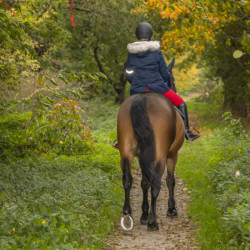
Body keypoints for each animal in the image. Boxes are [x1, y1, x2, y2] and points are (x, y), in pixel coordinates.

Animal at [116, 58, 184, 230]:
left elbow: (143, 183)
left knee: (127, 179)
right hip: (160, 154)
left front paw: (144, 213)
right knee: (156, 182)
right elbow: (170, 180)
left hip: (126, 151)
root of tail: (143, 99)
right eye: (172, 79)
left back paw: (127, 212)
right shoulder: (172, 155)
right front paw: (171, 209)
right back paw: (153, 222)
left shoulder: (142, 156)